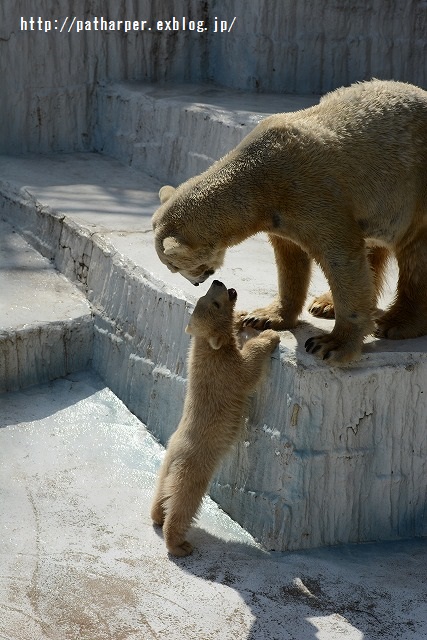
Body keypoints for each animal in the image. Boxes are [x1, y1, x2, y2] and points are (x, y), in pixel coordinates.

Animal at [152, 81, 426, 364]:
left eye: (173, 266)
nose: (197, 283)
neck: (258, 179)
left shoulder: (311, 192)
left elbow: (341, 255)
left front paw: (331, 344)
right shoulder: (280, 215)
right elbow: (290, 257)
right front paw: (263, 317)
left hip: (414, 188)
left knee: (415, 256)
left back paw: (397, 322)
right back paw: (326, 304)